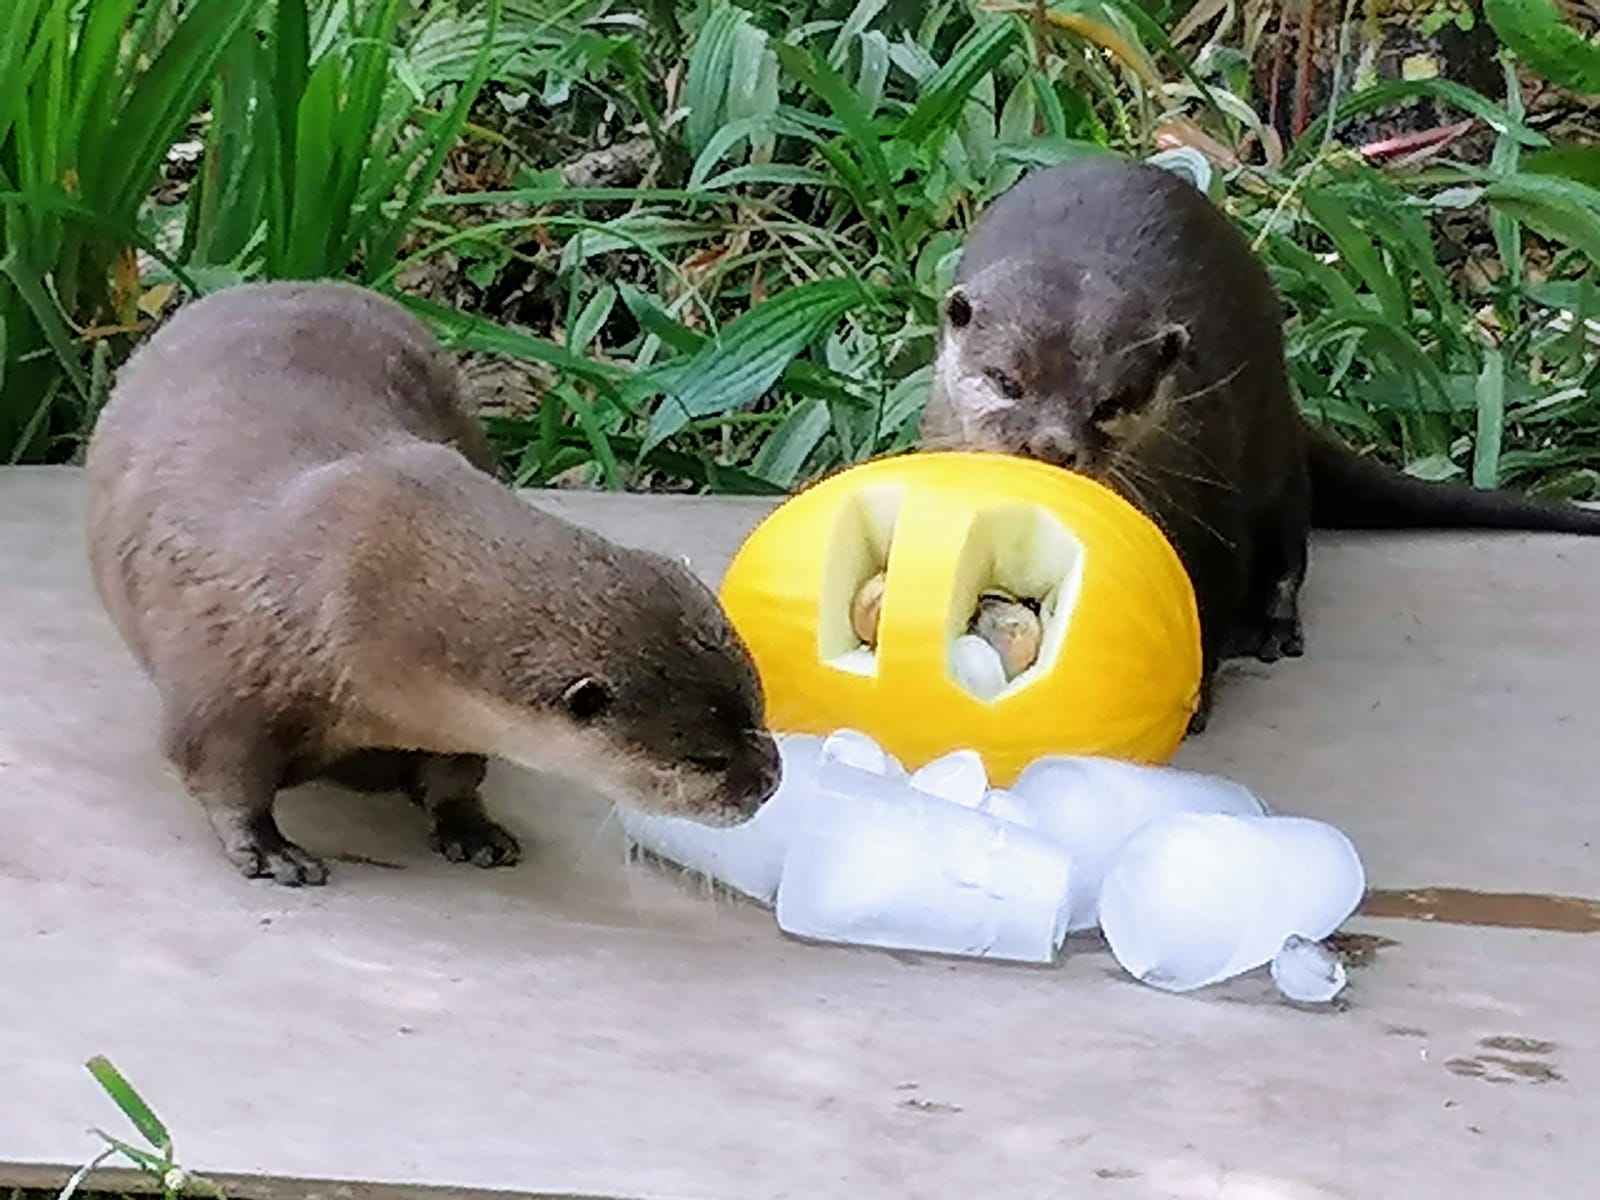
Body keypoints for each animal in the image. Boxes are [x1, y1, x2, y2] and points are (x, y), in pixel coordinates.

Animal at [89, 280, 787, 883]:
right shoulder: (230, 682)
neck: (363, 604)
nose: (769, 782)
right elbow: (217, 769)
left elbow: (455, 774)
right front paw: (268, 848)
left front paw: (470, 828)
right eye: (705, 759)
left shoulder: (456, 725)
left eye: (758, 709)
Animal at [921, 155, 1600, 729]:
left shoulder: (1209, 505)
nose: (1052, 445)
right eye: (1007, 381)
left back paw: (1272, 622)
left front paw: (1192, 700)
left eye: (1111, 403)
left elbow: (1214, 597)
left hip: (1270, 442)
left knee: (1288, 532)